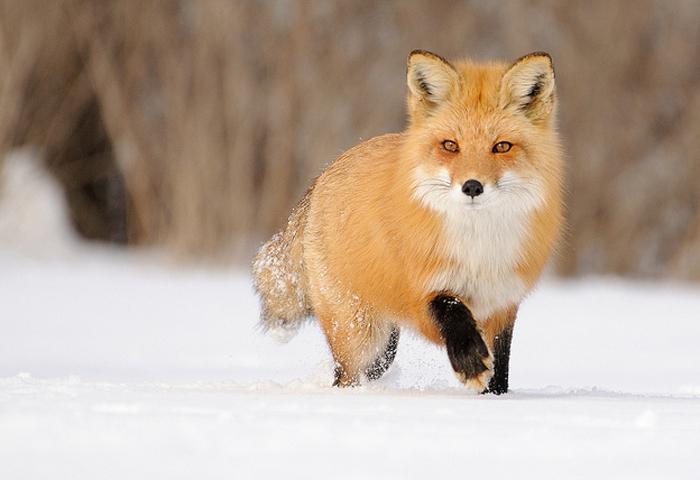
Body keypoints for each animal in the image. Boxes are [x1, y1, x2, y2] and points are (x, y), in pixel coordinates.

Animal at [252, 49, 564, 394]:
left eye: (502, 147)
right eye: (450, 145)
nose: (472, 186)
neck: (477, 250)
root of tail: (324, 174)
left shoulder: (503, 303)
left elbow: (501, 369)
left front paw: (495, 397)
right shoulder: (420, 291)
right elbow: (451, 308)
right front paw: (470, 363)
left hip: (383, 350)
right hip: (360, 335)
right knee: (344, 376)